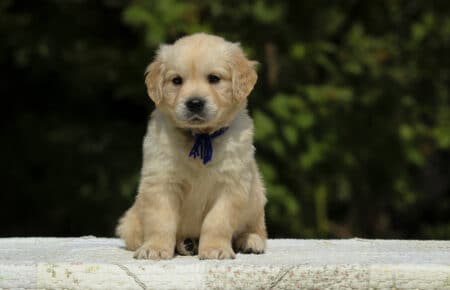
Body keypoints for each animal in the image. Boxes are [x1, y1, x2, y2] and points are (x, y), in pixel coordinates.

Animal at [116, 32, 268, 260]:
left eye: (214, 78)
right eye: (176, 80)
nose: (194, 103)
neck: (201, 136)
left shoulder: (231, 185)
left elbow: (218, 222)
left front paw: (215, 248)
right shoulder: (161, 181)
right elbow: (161, 221)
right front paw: (155, 248)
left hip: (257, 196)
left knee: (257, 228)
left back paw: (250, 241)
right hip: (130, 222)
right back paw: (186, 243)